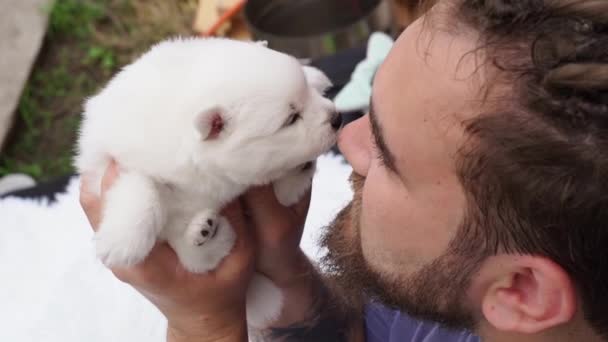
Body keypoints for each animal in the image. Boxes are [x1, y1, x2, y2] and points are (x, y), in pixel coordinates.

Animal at [75, 38, 342, 328]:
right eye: (291, 118)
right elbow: (142, 186)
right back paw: (207, 232)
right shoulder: (112, 160)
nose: (337, 118)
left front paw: (314, 77)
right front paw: (123, 242)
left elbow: (279, 188)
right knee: (194, 259)